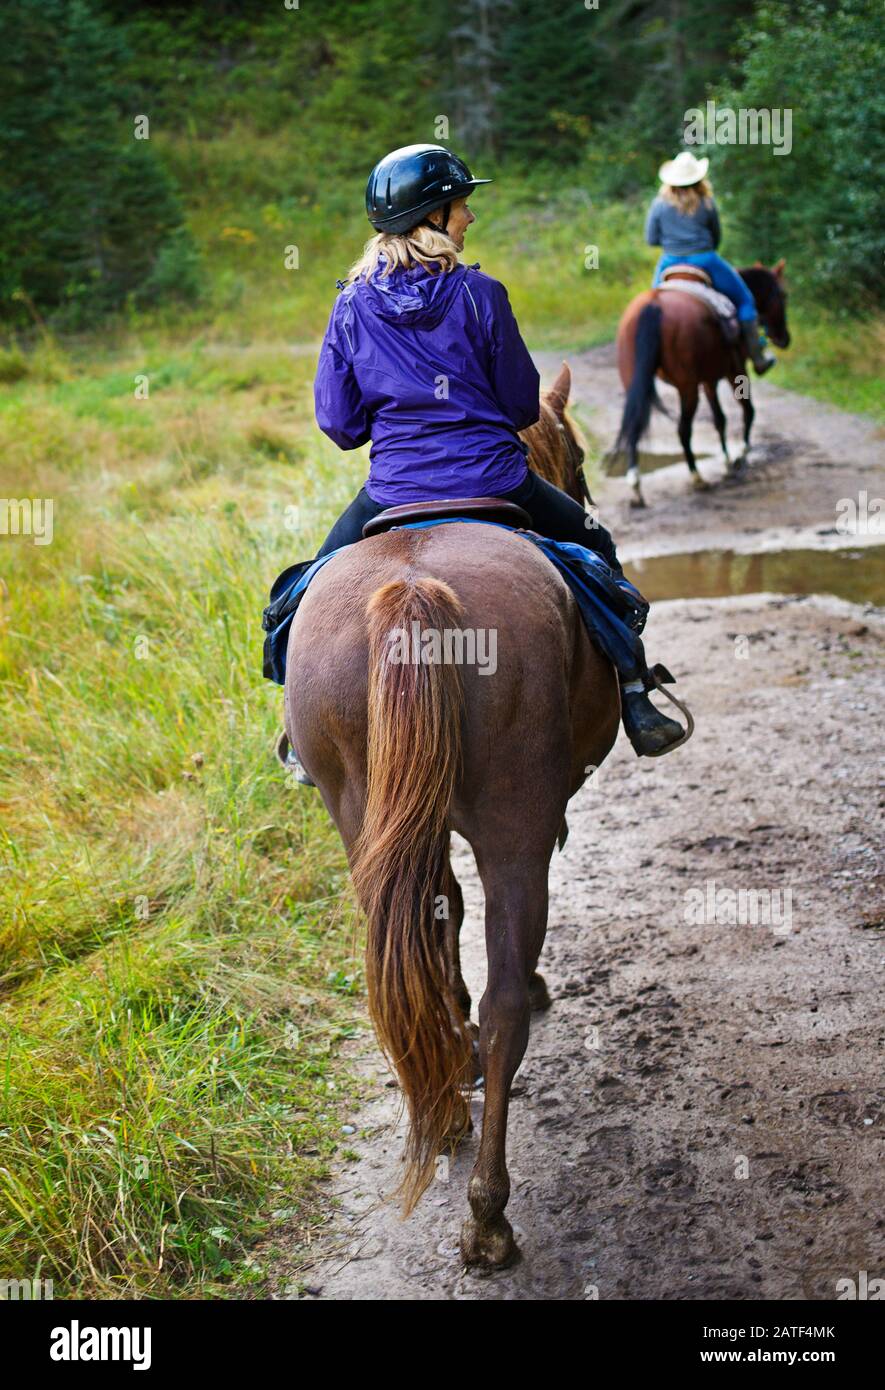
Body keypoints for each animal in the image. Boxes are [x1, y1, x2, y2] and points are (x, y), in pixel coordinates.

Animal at [283, 375, 614, 1267]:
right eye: (575, 454)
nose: (583, 491)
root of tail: (411, 591)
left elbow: (442, 916)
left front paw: (450, 1052)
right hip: (513, 825)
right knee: (505, 1005)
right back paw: (488, 1215)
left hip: (359, 812)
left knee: (399, 952)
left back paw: (441, 1109)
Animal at [611, 259, 789, 505]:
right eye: (783, 295)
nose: (785, 338)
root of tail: (654, 305)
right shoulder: (735, 371)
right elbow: (747, 410)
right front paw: (740, 456)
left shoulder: (708, 379)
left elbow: (719, 419)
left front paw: (727, 460)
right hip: (688, 387)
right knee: (683, 429)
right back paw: (697, 478)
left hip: (636, 381)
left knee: (635, 423)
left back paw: (636, 486)